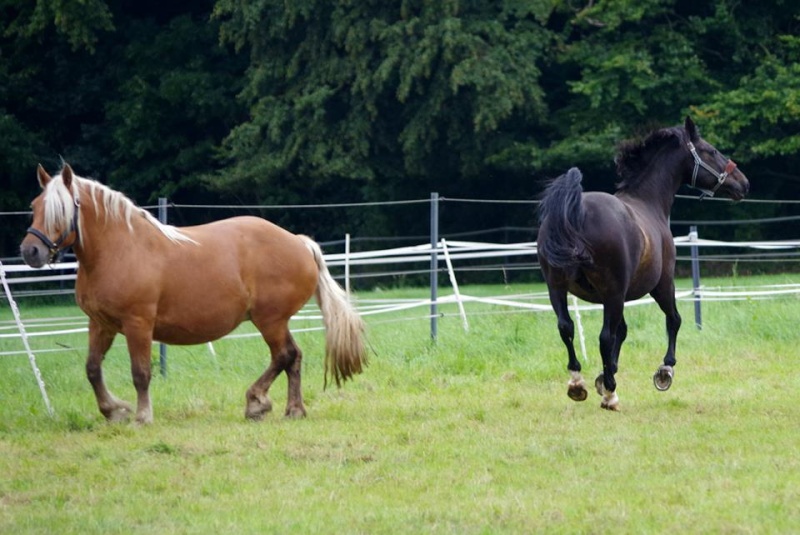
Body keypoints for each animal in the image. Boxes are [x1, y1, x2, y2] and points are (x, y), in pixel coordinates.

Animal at [20, 165, 368, 426]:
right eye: (34, 206)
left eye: (60, 210)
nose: (30, 251)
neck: (121, 249)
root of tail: (299, 242)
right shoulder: (101, 324)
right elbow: (92, 369)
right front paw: (114, 411)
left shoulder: (138, 324)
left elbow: (140, 372)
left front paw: (142, 416)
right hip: (276, 321)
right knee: (292, 356)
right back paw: (292, 409)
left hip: (270, 320)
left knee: (283, 356)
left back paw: (256, 402)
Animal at [536, 117, 752, 410]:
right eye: (711, 151)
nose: (744, 183)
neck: (649, 203)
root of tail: (577, 211)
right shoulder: (661, 285)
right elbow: (674, 320)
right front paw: (664, 371)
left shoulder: (614, 296)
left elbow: (623, 331)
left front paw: (604, 376)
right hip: (614, 292)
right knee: (604, 336)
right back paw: (611, 396)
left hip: (557, 288)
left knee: (566, 327)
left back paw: (577, 384)